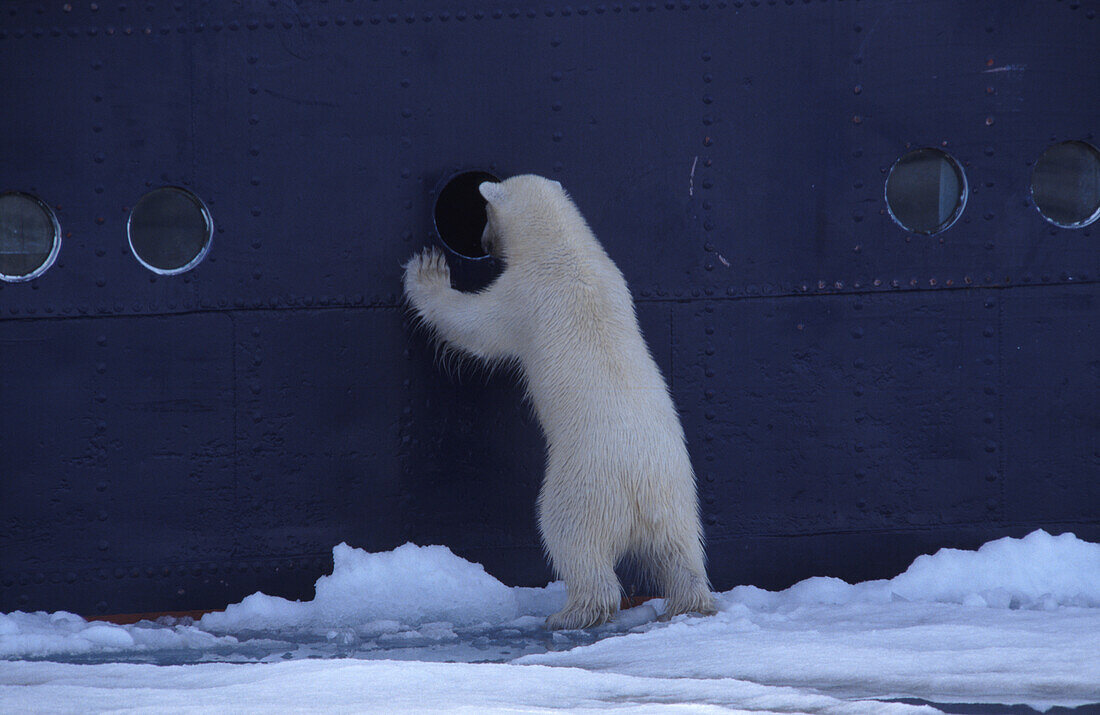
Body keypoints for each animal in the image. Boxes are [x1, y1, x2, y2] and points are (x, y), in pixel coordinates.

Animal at [400, 174, 717, 624]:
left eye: (484, 214)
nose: (482, 242)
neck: (566, 248)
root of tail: (638, 486)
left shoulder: (523, 295)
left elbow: (475, 327)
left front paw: (427, 271)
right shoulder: (615, 276)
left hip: (583, 486)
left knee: (570, 538)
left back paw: (572, 612)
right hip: (676, 493)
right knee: (680, 550)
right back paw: (690, 602)